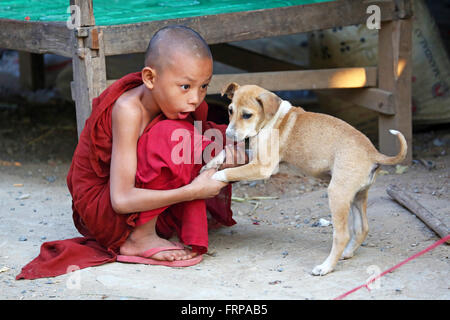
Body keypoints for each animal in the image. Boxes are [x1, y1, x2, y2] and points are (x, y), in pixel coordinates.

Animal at [204, 82, 408, 276]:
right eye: (230, 110)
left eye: (247, 115)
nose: (229, 135)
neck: (270, 121)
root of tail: (373, 152)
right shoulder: (255, 159)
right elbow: (227, 156)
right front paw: (211, 163)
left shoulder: (263, 167)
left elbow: (233, 171)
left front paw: (216, 175)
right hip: (357, 196)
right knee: (362, 228)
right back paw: (347, 253)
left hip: (337, 194)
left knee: (342, 235)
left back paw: (325, 267)